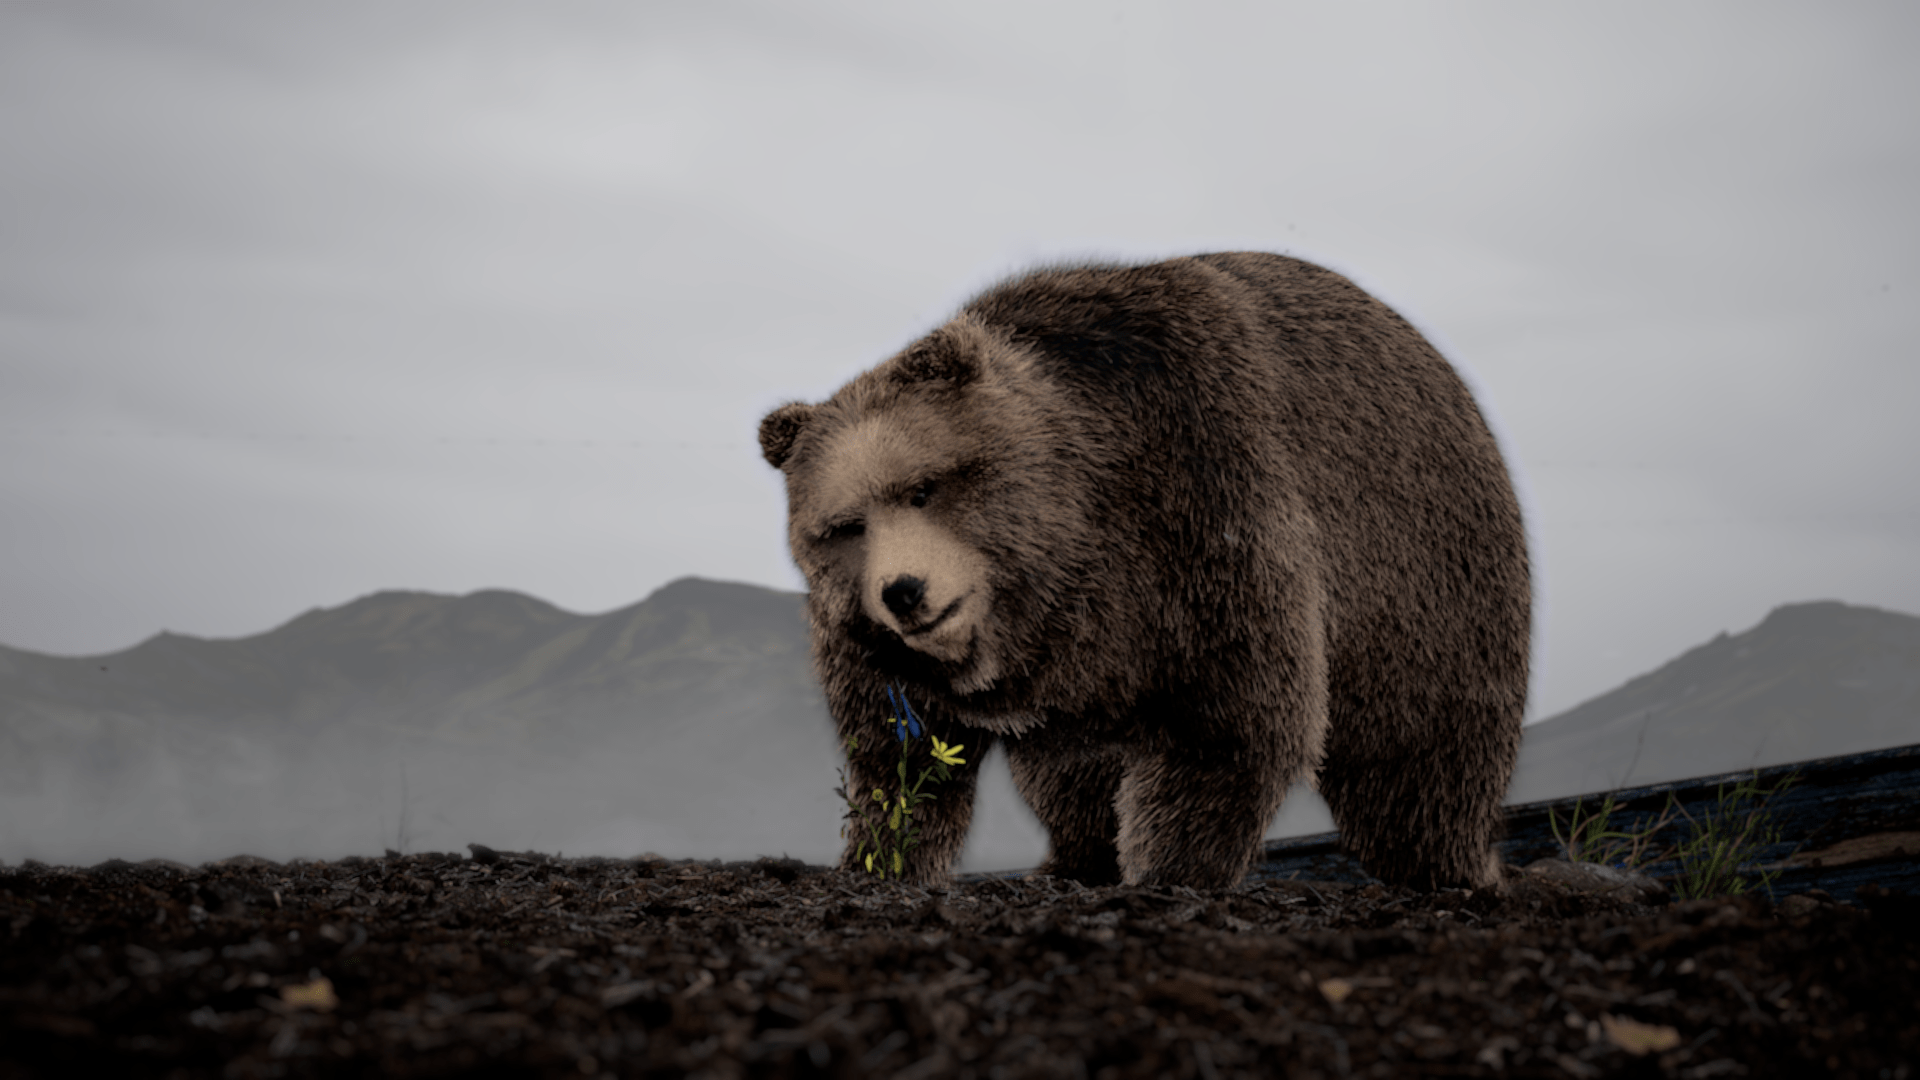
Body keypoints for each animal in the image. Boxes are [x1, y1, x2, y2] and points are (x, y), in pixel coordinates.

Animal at [758, 252, 1529, 891]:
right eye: (846, 525)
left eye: (923, 488)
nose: (905, 592)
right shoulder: (874, 646)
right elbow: (902, 757)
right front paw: (875, 861)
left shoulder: (1201, 503)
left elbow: (1231, 722)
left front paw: (1169, 869)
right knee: (1068, 773)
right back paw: (1071, 858)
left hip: (1421, 571)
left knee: (1421, 750)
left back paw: (1452, 867)